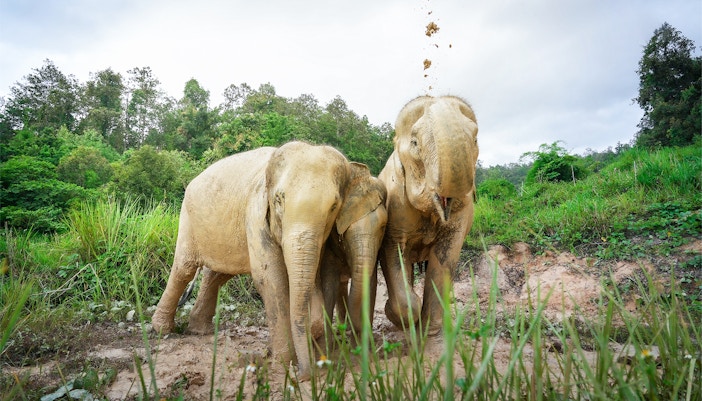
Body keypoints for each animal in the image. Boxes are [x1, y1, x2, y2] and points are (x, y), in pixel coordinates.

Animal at [151, 141, 386, 380]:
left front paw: (308, 341)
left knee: (217, 274)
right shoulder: (256, 213)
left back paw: (199, 330)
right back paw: (162, 329)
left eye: (333, 207)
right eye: (279, 199)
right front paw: (283, 363)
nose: (303, 375)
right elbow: (271, 279)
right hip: (188, 218)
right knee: (185, 268)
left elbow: (315, 277)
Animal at [378, 95, 479, 336]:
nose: (433, 94)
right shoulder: (395, 203)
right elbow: (394, 251)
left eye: (475, 139)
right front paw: (403, 319)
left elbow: (445, 256)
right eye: (415, 143)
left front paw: (431, 331)